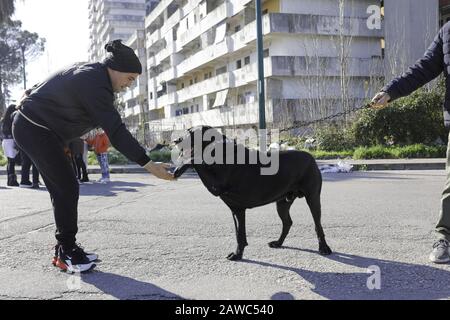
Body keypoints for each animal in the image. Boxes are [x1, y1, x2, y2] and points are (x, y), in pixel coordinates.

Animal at [174, 125, 332, 260]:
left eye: (191, 132)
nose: (175, 140)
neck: (220, 153)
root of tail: (311, 157)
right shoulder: (236, 209)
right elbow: (239, 233)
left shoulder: (225, 194)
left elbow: (196, 160)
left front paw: (237, 255)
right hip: (282, 202)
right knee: (287, 222)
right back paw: (278, 243)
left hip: (312, 197)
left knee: (317, 225)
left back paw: (324, 248)